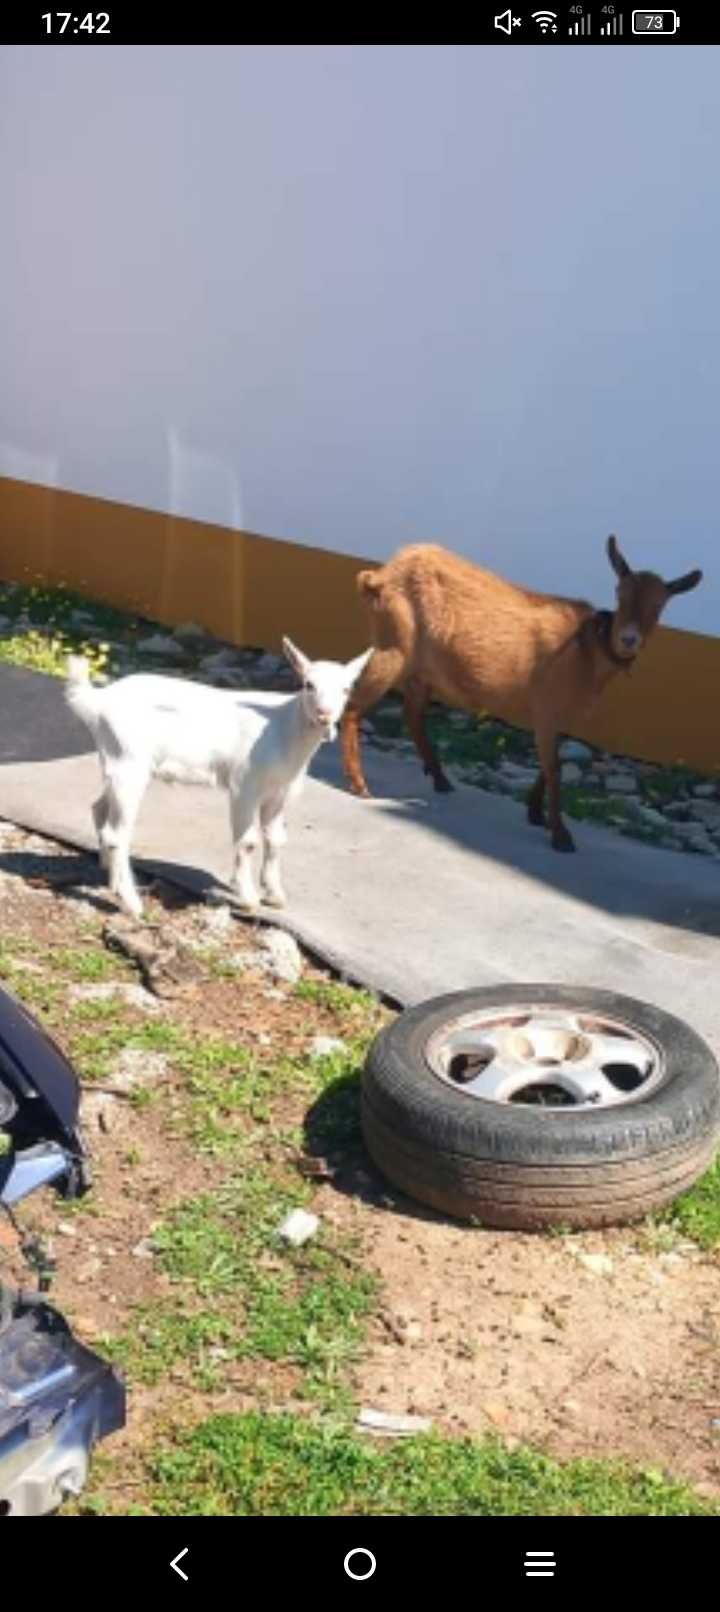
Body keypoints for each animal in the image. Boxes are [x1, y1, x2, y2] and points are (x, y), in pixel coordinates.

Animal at [63, 638, 372, 922]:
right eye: (308, 684)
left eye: (347, 688)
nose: (324, 714)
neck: (284, 728)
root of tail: (98, 701)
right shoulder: (245, 785)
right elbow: (248, 841)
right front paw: (248, 898)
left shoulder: (279, 792)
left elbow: (275, 839)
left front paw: (274, 894)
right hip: (130, 762)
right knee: (117, 833)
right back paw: (132, 903)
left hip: (117, 763)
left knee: (100, 808)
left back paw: (110, 876)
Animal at [344, 535, 705, 851]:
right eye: (619, 593)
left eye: (659, 605)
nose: (628, 639)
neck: (586, 651)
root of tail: (379, 576)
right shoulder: (546, 707)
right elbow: (555, 769)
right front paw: (560, 835)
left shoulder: (560, 716)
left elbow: (550, 765)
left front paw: (535, 813)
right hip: (395, 646)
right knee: (354, 704)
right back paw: (360, 784)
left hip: (421, 667)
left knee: (413, 715)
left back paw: (440, 778)